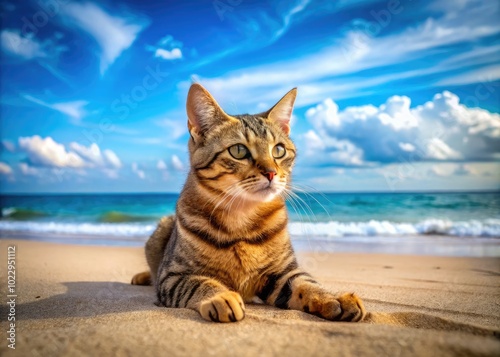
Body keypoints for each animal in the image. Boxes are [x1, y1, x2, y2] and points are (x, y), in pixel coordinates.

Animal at [131, 84, 366, 322]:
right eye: (238, 151)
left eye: (279, 150)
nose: (271, 172)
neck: (242, 216)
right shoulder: (172, 276)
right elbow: (199, 283)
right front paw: (221, 296)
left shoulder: (283, 273)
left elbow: (306, 284)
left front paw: (333, 298)